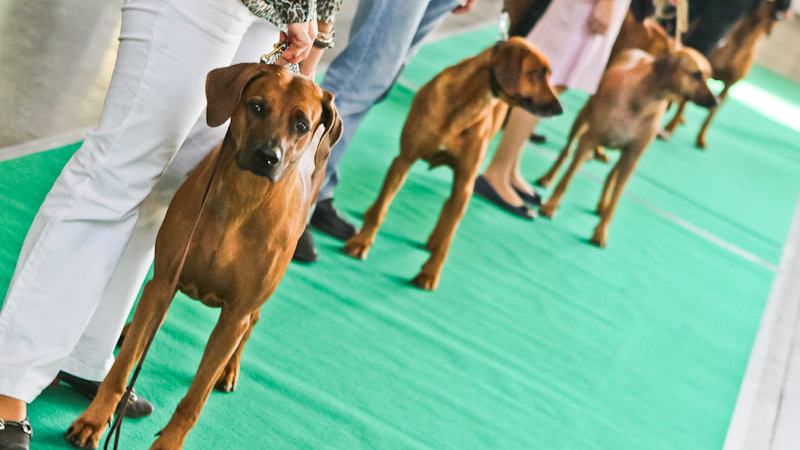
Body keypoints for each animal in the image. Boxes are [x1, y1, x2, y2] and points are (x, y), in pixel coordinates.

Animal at [62, 64, 338, 450]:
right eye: (256, 105)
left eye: (301, 123)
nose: (268, 157)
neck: (241, 199)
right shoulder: (165, 281)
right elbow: (121, 370)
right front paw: (94, 421)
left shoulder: (234, 316)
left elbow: (194, 401)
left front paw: (168, 444)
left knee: (252, 323)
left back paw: (230, 370)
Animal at [344, 38, 564, 292]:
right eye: (537, 73)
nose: (560, 109)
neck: (467, 104)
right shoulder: (404, 160)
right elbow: (381, 210)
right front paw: (361, 243)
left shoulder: (465, 182)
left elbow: (448, 239)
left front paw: (430, 273)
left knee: (449, 206)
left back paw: (434, 240)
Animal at [536, 46, 716, 246]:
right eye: (696, 74)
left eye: (710, 76)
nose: (715, 101)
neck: (643, 101)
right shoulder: (590, 139)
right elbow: (566, 180)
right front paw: (551, 205)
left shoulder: (633, 156)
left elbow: (616, 198)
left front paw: (602, 230)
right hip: (583, 118)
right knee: (566, 151)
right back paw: (548, 177)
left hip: (623, 154)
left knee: (611, 174)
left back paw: (602, 203)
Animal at [664, 0, 780, 148]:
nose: (781, 14)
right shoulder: (701, 74)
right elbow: (684, 102)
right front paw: (670, 127)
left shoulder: (727, 88)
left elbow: (711, 114)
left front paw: (701, 138)